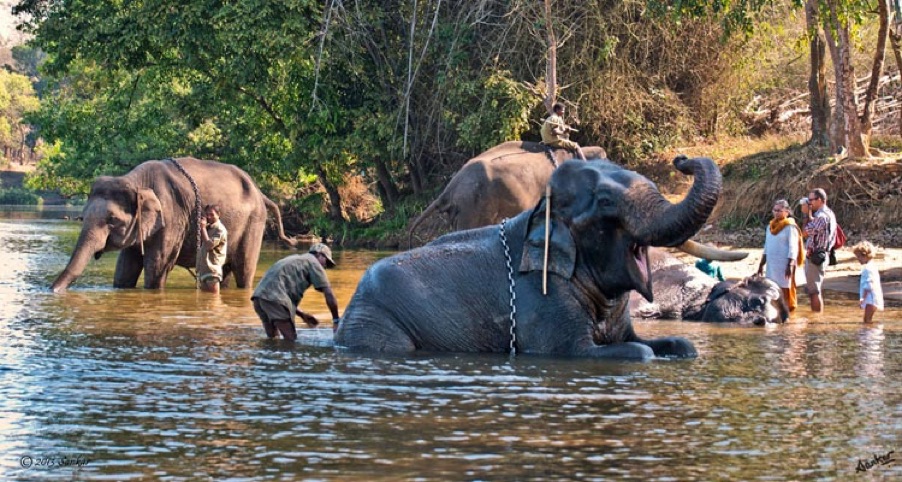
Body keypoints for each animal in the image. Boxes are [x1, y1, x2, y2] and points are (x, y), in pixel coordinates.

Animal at [51, 156, 296, 292]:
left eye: (112, 220)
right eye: (82, 218)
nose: (52, 291)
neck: (136, 182)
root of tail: (261, 193)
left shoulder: (172, 218)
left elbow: (157, 266)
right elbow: (125, 270)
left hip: (254, 224)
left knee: (244, 270)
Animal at [336, 156, 740, 360]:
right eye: (605, 202)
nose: (682, 159)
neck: (541, 212)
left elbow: (676, 344)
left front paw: (679, 348)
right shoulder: (541, 302)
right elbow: (629, 352)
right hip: (377, 324)